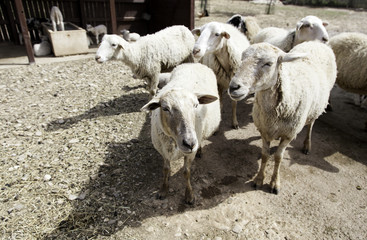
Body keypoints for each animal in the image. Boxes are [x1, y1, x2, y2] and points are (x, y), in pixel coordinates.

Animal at [141, 62, 221, 204]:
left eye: (196, 105)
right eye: (165, 108)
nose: (189, 143)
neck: (173, 140)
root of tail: (194, 63)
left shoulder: (189, 154)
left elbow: (186, 172)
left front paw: (189, 195)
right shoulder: (163, 150)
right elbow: (165, 169)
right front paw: (163, 190)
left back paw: (200, 149)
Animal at [229, 41, 338, 194]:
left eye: (268, 63)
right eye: (242, 58)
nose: (233, 87)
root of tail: (317, 42)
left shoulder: (289, 135)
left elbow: (278, 157)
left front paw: (275, 183)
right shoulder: (264, 129)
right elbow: (265, 155)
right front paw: (259, 179)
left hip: (317, 107)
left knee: (311, 124)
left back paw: (307, 145)